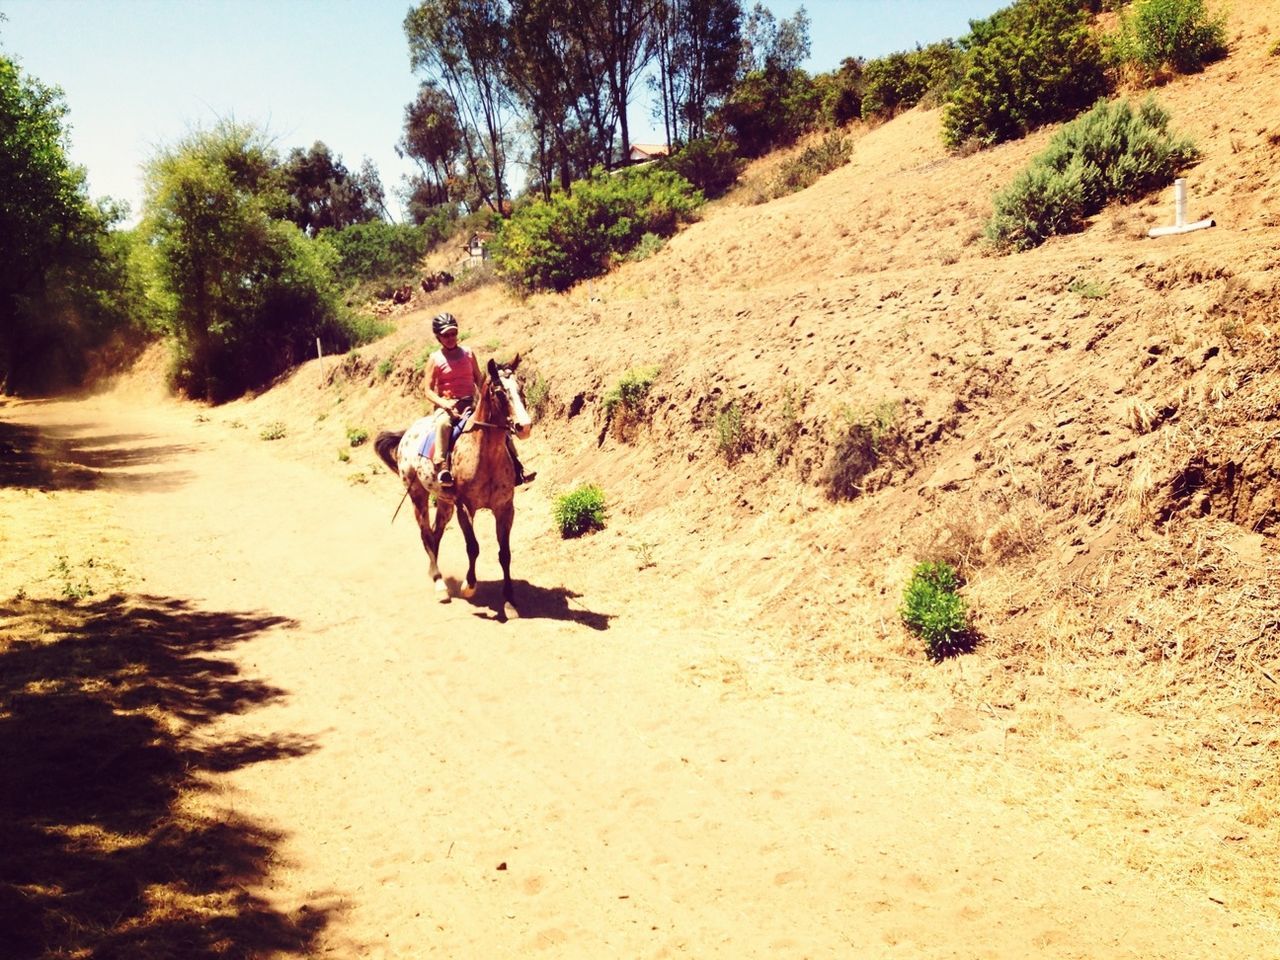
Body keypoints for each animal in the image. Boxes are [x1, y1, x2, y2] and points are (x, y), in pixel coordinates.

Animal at [373, 358, 532, 619]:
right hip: (418, 496)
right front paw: (469, 586)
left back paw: (434, 574)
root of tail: (408, 434)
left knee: (435, 534)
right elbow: (473, 547)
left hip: (445, 503)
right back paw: (439, 584)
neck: (486, 455)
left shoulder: (505, 508)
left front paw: (509, 601)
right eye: (500, 392)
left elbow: (505, 553)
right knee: (426, 535)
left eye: (520, 388)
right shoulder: (465, 507)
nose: (524, 426)